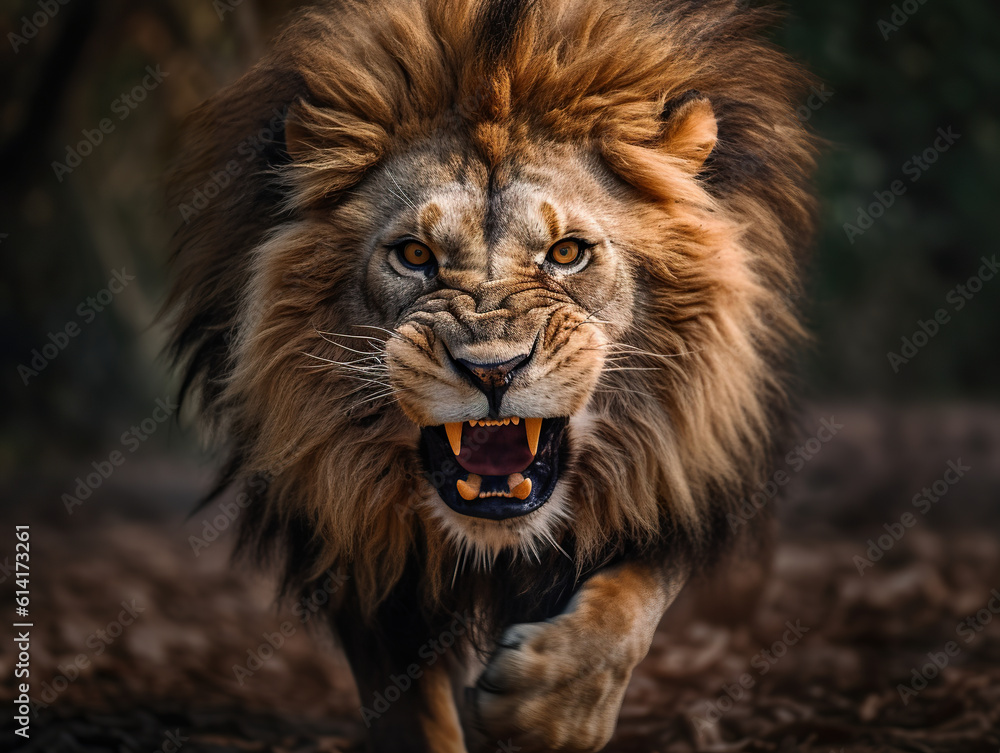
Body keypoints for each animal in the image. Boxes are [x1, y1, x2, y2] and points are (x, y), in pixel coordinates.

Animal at [164, 0, 817, 750]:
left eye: (566, 253)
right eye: (414, 255)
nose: (493, 370)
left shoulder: (688, 452)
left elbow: (633, 600)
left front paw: (548, 711)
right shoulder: (348, 527)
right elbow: (411, 713)